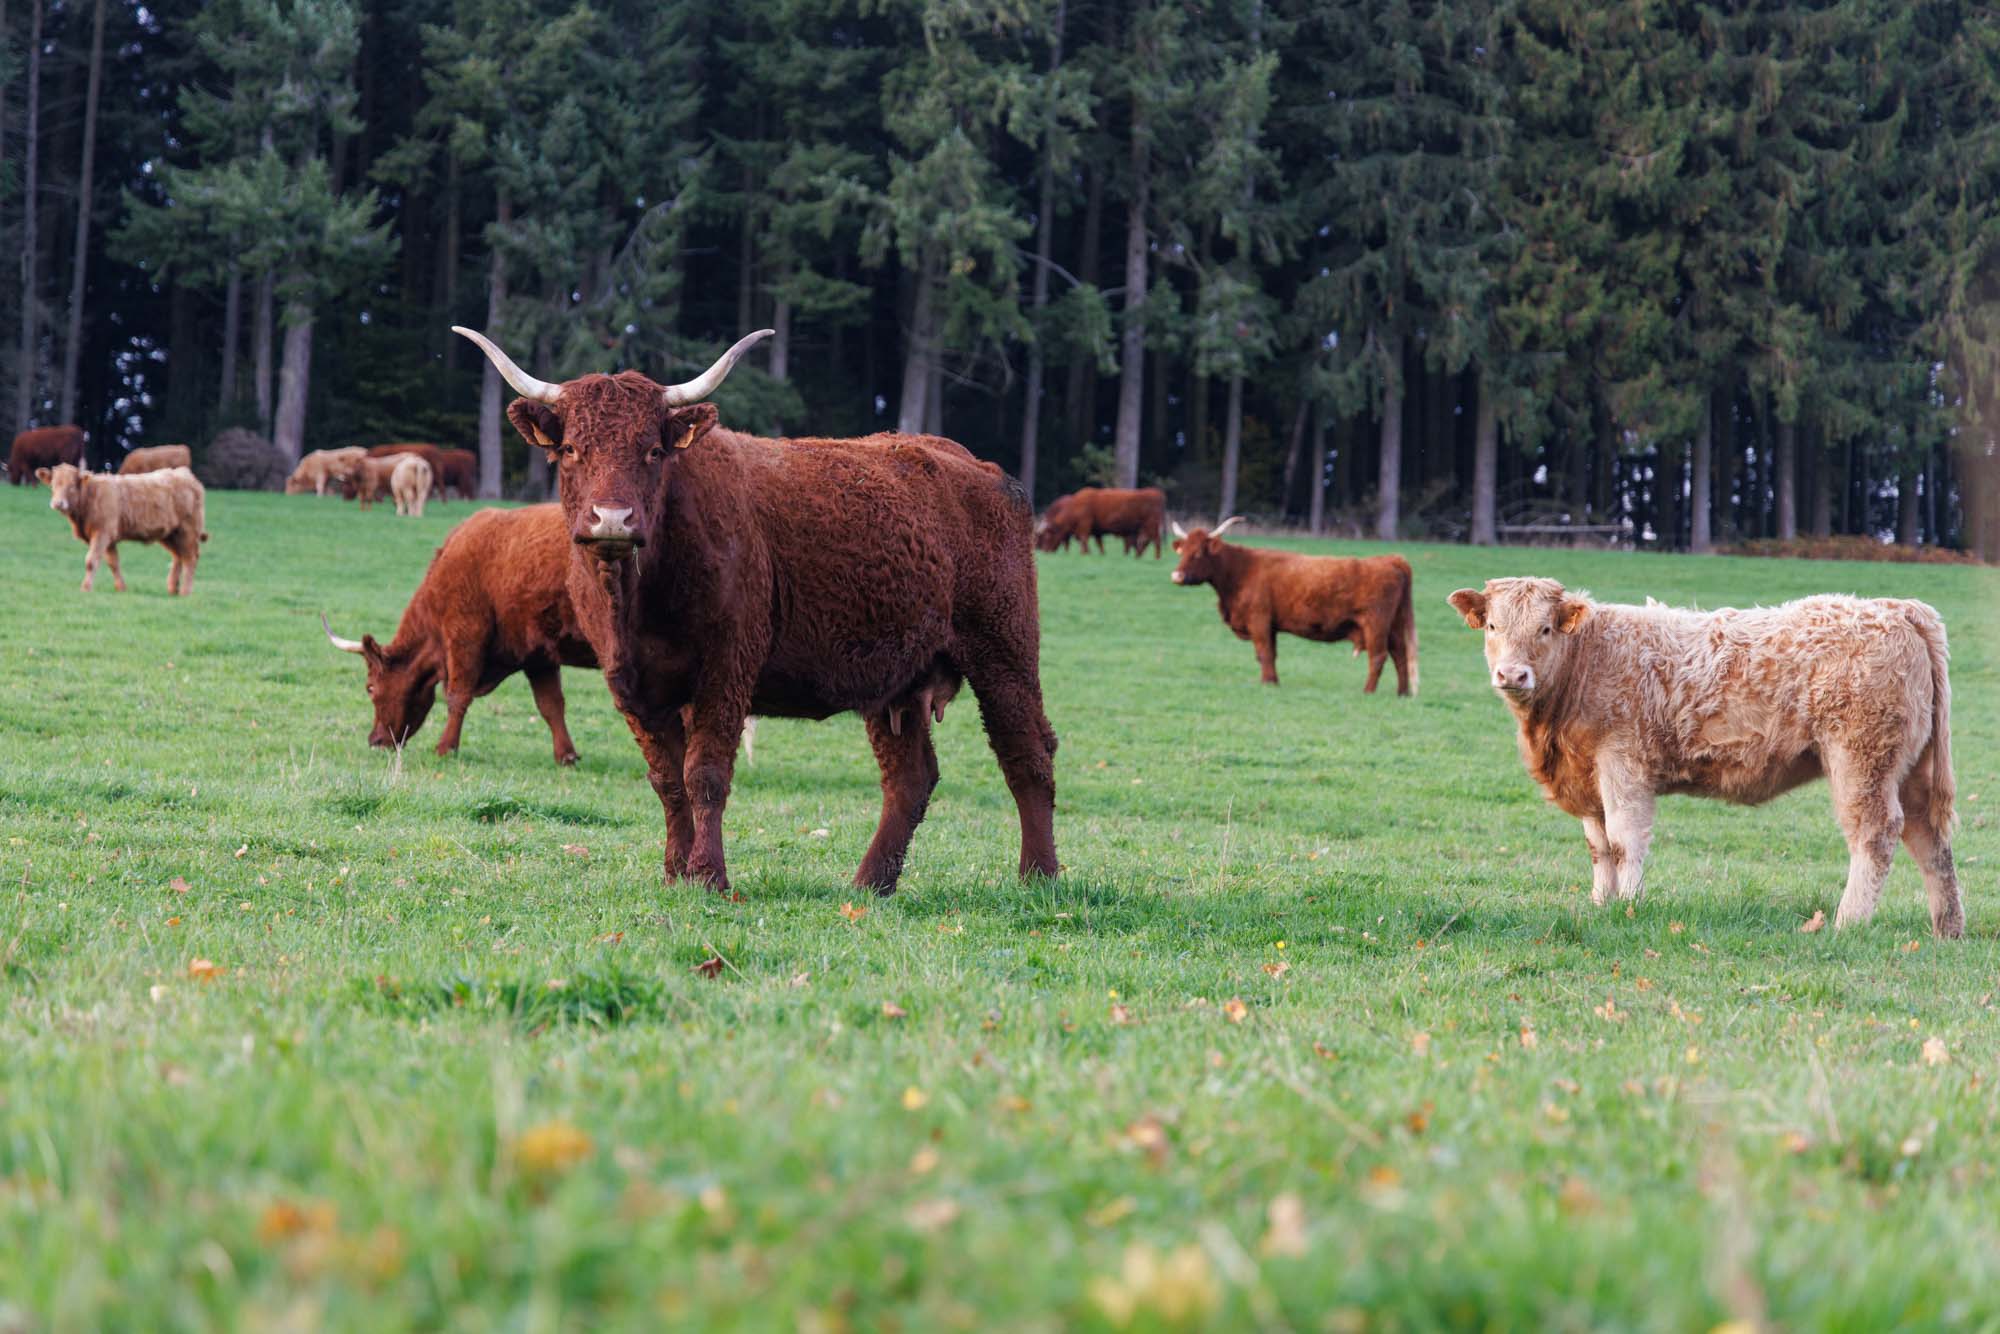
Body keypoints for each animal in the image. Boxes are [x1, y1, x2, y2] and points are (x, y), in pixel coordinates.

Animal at [37, 463, 208, 595]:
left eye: (72, 486)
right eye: (53, 485)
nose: (58, 503)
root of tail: (185, 473)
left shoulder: (102, 533)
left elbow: (91, 560)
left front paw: (85, 588)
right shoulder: (109, 538)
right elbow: (113, 563)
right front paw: (121, 588)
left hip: (188, 530)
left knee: (190, 558)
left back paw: (185, 592)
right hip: (170, 534)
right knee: (178, 557)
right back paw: (172, 589)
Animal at [319, 504, 759, 767]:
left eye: (370, 687)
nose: (375, 740)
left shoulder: (465, 634)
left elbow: (457, 695)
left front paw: (446, 748)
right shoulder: (538, 655)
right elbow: (552, 706)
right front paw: (567, 755)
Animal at [454, 324, 1059, 898]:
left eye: (653, 451)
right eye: (572, 449)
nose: (612, 520)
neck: (637, 599)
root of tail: (980, 467)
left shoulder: (726, 670)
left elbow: (705, 774)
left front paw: (709, 876)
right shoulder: (630, 683)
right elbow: (667, 779)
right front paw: (674, 873)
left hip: (1003, 653)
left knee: (1027, 756)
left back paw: (1038, 877)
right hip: (897, 681)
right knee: (909, 779)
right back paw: (871, 885)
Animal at [1170, 518, 1417, 693]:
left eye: (1198, 553)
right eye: (1182, 552)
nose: (1176, 576)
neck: (1240, 571)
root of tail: (1389, 559)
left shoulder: (1258, 620)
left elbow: (1264, 652)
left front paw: (1268, 683)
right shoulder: (1270, 626)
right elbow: (1270, 654)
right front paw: (1273, 681)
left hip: (1376, 624)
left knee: (1378, 656)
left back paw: (1368, 691)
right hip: (1394, 625)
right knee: (1400, 654)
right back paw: (1402, 693)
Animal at [1447, 578, 1962, 936]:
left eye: (1545, 628)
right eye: (1492, 626)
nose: (1512, 674)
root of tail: (1897, 607)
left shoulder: (1623, 763)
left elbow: (1623, 840)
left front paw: (1628, 908)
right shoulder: (1588, 776)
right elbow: (1599, 847)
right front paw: (1600, 906)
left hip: (1861, 761)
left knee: (1876, 835)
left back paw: (1846, 923)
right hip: (1909, 770)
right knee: (1929, 841)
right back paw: (1947, 930)